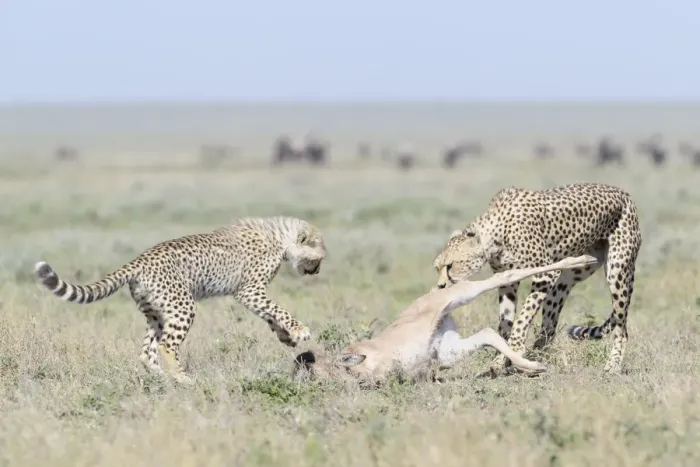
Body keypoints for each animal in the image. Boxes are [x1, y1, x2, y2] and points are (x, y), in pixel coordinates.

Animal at [33, 216, 327, 384]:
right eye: (319, 256)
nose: (317, 271)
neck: (282, 238)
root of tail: (139, 259)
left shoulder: (253, 293)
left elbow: (271, 315)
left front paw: (288, 337)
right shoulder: (250, 290)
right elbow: (277, 310)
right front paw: (300, 330)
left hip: (157, 313)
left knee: (146, 351)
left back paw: (161, 378)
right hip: (183, 306)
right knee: (166, 346)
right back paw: (182, 378)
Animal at [432, 182, 642, 376]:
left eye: (450, 266)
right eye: (437, 268)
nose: (441, 286)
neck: (497, 232)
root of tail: (624, 193)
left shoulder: (545, 273)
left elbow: (523, 317)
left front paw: (513, 350)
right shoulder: (508, 283)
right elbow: (506, 321)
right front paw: (502, 359)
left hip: (617, 271)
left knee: (621, 329)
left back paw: (613, 365)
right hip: (569, 277)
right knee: (549, 327)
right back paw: (534, 358)